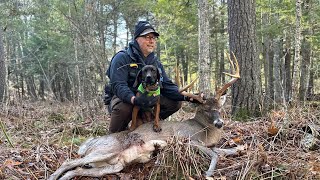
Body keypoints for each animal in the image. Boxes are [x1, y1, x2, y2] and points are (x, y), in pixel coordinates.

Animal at [49, 52, 240, 179]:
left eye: (219, 108)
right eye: (205, 109)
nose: (219, 123)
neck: (205, 131)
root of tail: (89, 143)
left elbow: (222, 150)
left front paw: (238, 148)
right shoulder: (187, 139)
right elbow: (215, 154)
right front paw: (208, 172)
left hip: (115, 165)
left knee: (77, 170)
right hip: (106, 149)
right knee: (69, 162)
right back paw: (51, 176)